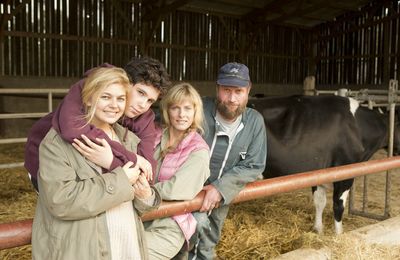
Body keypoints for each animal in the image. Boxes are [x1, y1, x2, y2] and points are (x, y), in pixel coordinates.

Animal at [248, 94, 398, 235]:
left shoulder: (318, 171)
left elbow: (319, 202)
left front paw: (318, 229)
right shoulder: (344, 172)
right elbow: (338, 205)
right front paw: (338, 235)